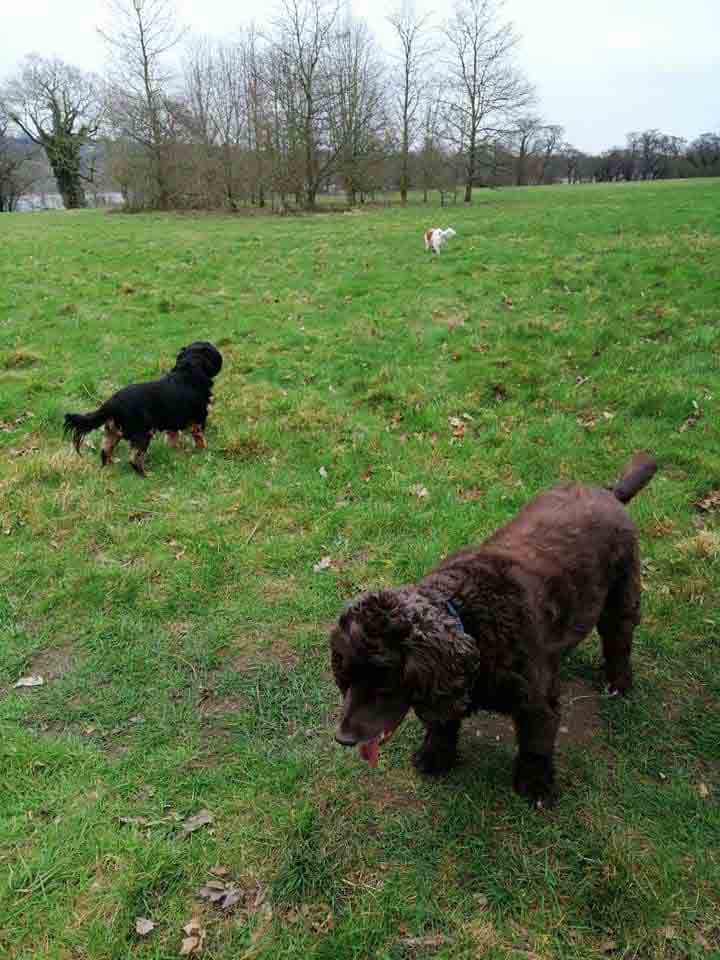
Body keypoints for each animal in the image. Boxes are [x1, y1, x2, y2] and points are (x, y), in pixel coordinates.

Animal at [64, 342, 222, 476]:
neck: (187, 372)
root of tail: (111, 403)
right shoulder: (198, 418)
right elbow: (200, 438)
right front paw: (203, 450)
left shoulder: (172, 423)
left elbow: (173, 438)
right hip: (143, 432)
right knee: (133, 457)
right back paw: (146, 474)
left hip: (113, 432)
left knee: (105, 450)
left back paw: (111, 466)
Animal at [332, 454, 660, 808]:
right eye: (345, 679)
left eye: (383, 683)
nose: (343, 738)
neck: (468, 618)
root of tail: (610, 492)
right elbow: (442, 723)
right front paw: (435, 756)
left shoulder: (536, 703)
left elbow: (536, 745)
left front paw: (536, 787)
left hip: (621, 593)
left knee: (618, 640)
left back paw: (618, 683)